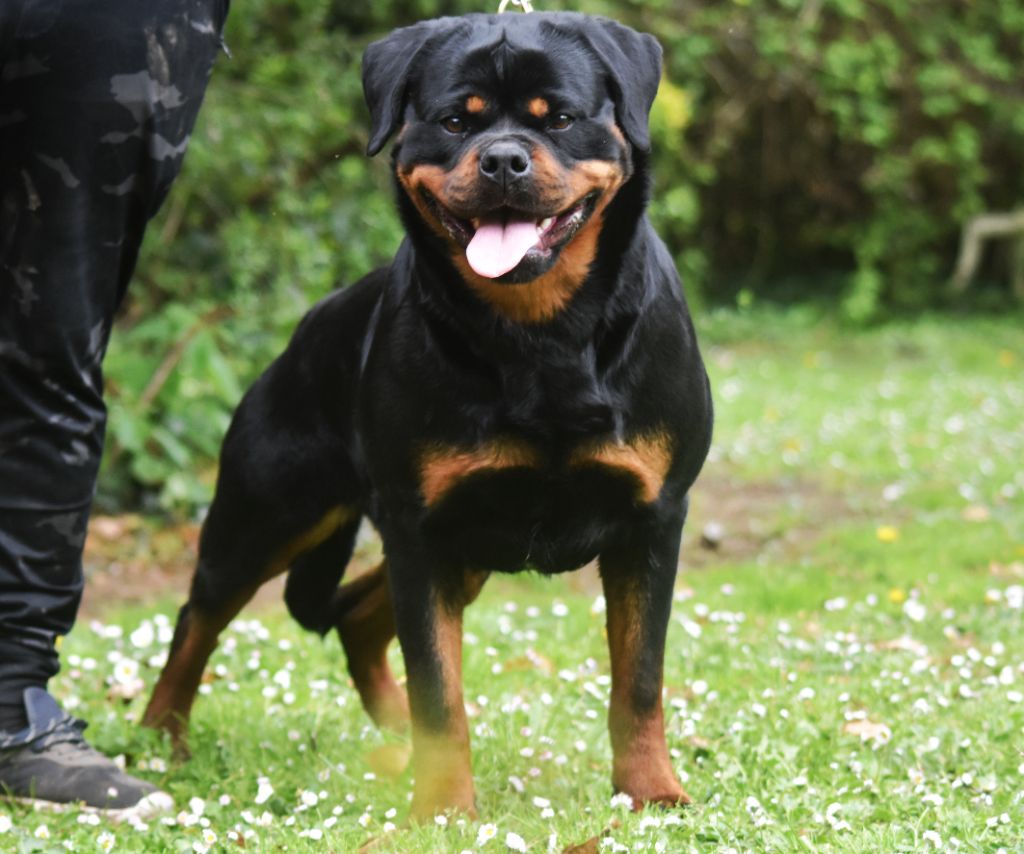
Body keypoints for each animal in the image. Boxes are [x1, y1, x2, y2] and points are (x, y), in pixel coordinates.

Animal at [143, 11, 713, 820]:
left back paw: (388, 738)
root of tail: (307, 327)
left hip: (459, 552)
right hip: (270, 515)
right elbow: (438, 689)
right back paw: (160, 735)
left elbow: (638, 678)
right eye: (454, 122)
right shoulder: (419, 526)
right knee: (200, 617)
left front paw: (651, 790)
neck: (539, 335)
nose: (503, 159)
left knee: (352, 616)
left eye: (559, 118)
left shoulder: (652, 519)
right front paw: (443, 808)